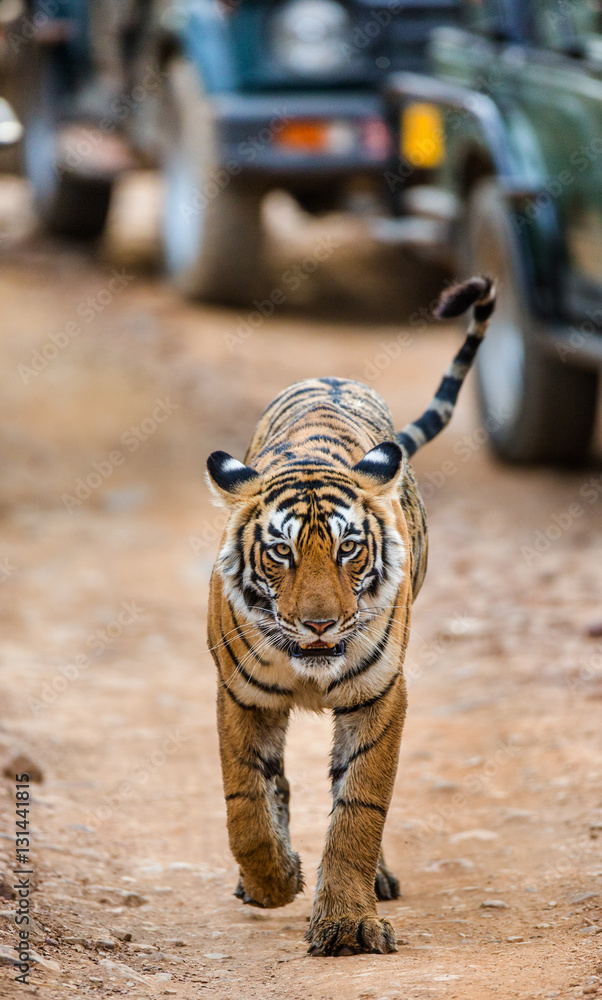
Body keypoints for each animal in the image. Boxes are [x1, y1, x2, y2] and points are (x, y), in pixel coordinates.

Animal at [206, 275, 496, 957]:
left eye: (348, 549)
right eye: (281, 552)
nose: (319, 624)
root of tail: (333, 377)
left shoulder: (380, 695)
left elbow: (360, 807)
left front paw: (347, 923)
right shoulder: (240, 696)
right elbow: (245, 803)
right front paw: (273, 882)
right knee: (274, 787)